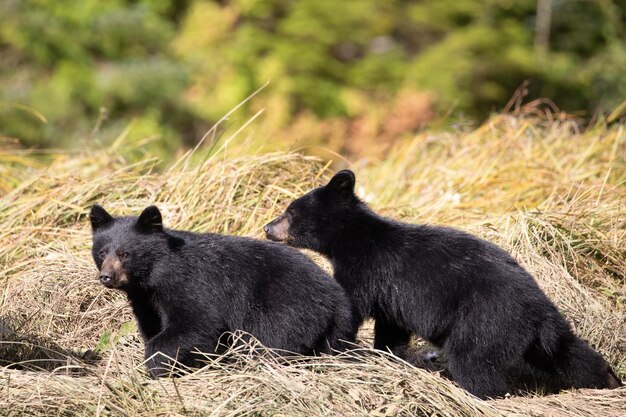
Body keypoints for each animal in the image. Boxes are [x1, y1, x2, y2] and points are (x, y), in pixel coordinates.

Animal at [90, 203, 358, 376]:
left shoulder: (189, 284)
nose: (106, 277)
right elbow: (152, 325)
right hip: (332, 329)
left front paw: (157, 365)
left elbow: (198, 322)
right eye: (102, 252)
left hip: (287, 307)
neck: (153, 276)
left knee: (274, 339)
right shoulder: (144, 300)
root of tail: (336, 298)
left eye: (125, 254)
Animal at [264, 171, 620, 398]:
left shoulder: (367, 272)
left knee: (474, 362)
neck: (352, 240)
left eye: (290, 211)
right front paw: (390, 355)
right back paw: (609, 378)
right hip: (540, 332)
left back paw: (482, 393)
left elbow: (350, 308)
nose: (267, 227)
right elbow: (391, 327)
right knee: (567, 352)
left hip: (485, 321)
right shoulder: (391, 295)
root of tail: (537, 310)